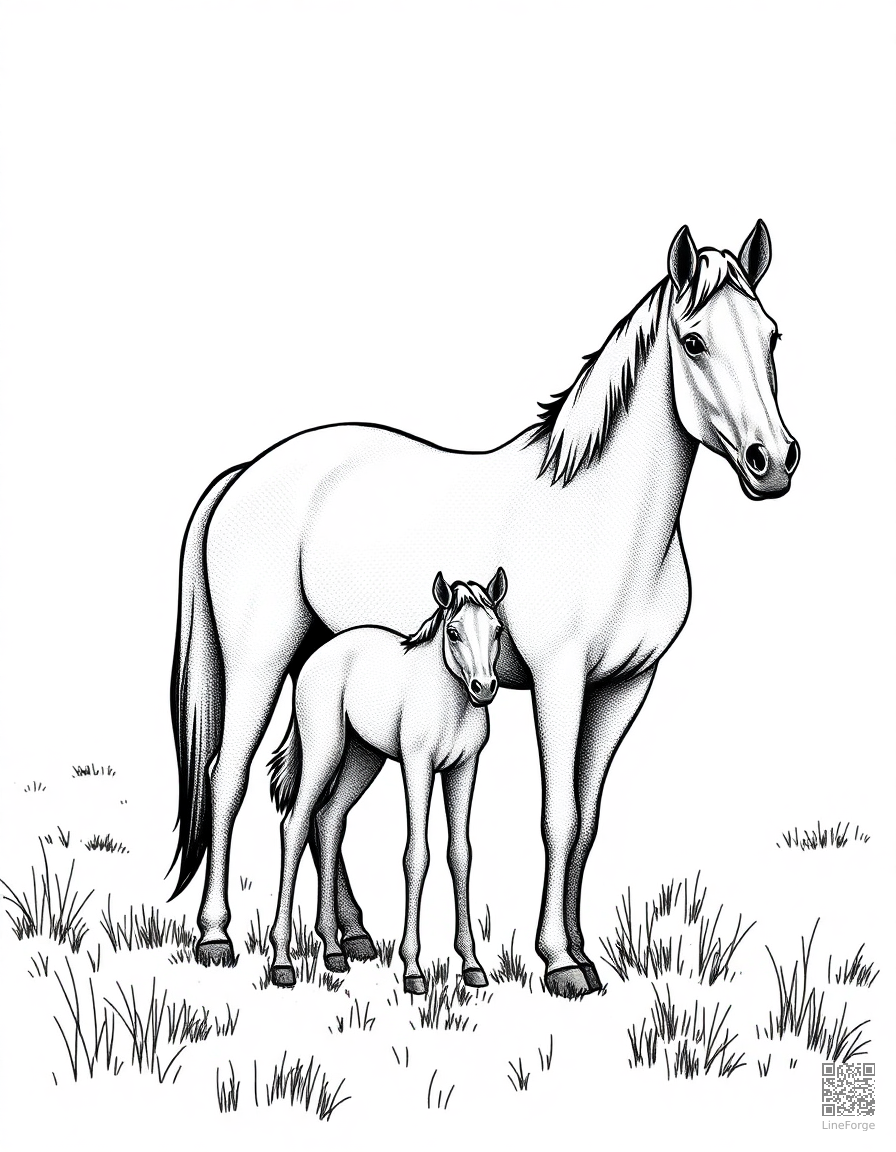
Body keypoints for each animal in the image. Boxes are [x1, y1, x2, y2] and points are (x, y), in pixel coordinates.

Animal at [265, 569, 506, 994]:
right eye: (454, 632)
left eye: (496, 630)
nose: (484, 687)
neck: (450, 700)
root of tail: (314, 658)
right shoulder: (417, 766)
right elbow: (417, 856)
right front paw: (413, 970)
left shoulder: (464, 768)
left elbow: (460, 854)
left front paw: (472, 964)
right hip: (324, 752)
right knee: (296, 825)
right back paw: (281, 962)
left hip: (363, 757)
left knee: (328, 820)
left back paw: (333, 951)